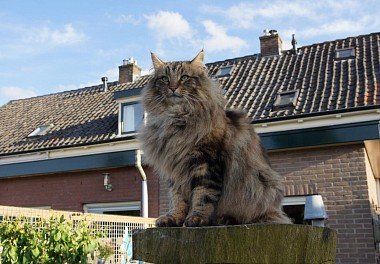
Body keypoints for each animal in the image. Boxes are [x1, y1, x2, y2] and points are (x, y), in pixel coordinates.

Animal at [140, 51, 290, 227]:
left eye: (184, 77)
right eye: (164, 78)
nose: (173, 87)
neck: (175, 118)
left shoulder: (206, 162)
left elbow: (203, 195)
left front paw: (196, 218)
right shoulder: (175, 168)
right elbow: (177, 198)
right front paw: (174, 218)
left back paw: (224, 219)